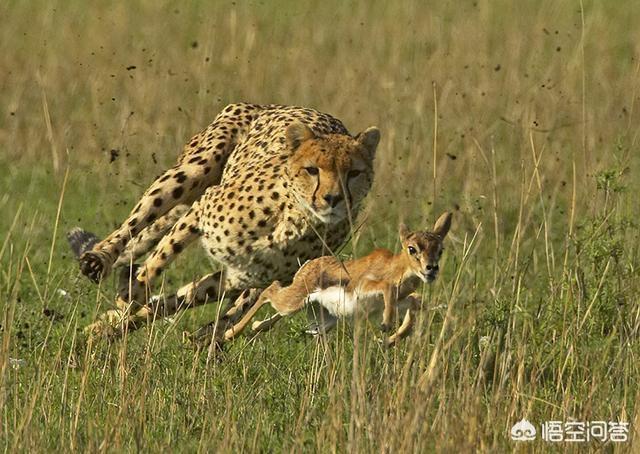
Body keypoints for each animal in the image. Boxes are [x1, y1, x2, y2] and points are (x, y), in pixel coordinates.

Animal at [70, 103, 380, 336]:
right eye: (312, 170)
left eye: (354, 173)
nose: (333, 198)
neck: (293, 218)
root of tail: (266, 105)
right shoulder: (200, 211)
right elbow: (158, 263)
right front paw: (130, 297)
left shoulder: (241, 276)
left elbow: (179, 299)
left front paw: (116, 324)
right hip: (193, 170)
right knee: (135, 223)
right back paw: (98, 260)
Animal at [222, 211, 452, 346]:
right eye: (412, 248)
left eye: (440, 249)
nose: (431, 269)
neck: (394, 269)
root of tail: (308, 265)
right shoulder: (367, 288)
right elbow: (388, 287)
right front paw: (386, 325)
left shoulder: (398, 301)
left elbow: (415, 302)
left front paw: (389, 340)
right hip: (293, 303)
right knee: (269, 291)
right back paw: (230, 334)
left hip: (321, 319)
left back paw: (256, 326)